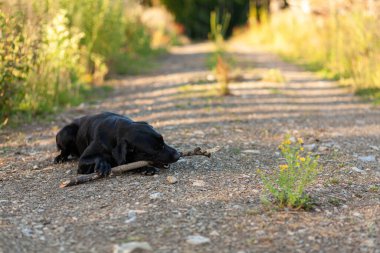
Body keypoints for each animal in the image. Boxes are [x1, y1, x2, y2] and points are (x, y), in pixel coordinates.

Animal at [53, 112, 181, 176]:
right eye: (155, 149)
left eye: (163, 141)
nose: (178, 155)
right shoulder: (83, 161)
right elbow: (99, 158)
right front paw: (103, 165)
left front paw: (145, 168)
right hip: (66, 132)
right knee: (64, 151)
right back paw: (59, 158)